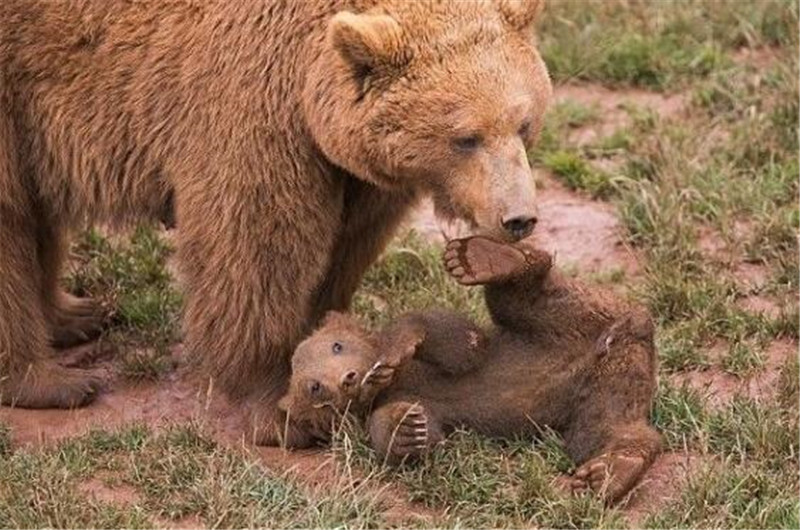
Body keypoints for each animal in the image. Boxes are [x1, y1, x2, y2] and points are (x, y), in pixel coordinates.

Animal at [0, 0, 552, 438]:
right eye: (466, 137)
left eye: (523, 123)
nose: (519, 218)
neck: (309, 78)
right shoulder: (252, 102)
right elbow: (255, 253)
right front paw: (280, 405)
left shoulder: (354, 171)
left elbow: (344, 246)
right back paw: (55, 381)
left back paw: (76, 316)